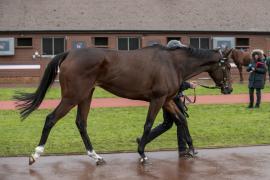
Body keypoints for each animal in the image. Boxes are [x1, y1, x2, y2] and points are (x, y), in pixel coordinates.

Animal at [14, 44, 232, 165]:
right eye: (228, 67)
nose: (229, 89)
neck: (172, 63)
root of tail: (69, 54)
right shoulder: (158, 99)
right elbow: (148, 124)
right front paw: (142, 153)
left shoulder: (167, 100)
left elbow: (181, 120)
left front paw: (192, 149)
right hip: (73, 96)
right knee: (51, 118)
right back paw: (36, 154)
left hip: (86, 95)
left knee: (81, 123)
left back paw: (96, 157)